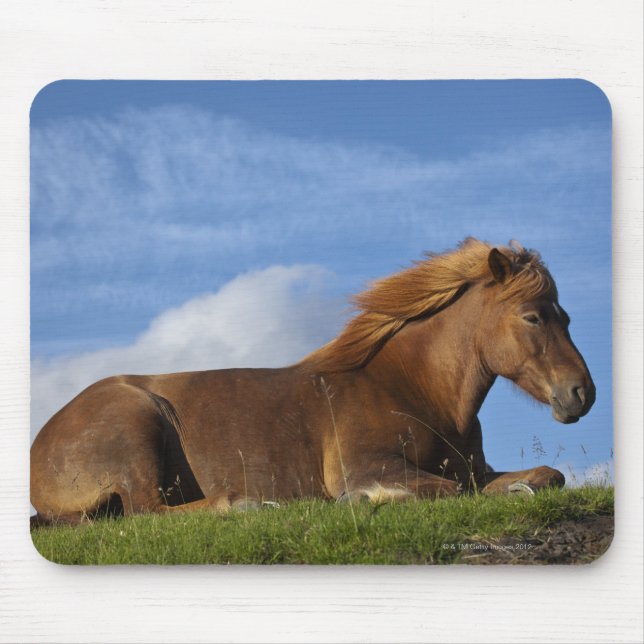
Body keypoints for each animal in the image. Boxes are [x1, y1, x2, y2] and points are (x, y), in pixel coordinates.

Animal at [30, 238, 595, 524]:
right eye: (532, 317)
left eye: (566, 316)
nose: (581, 394)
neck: (411, 390)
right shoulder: (368, 465)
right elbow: (447, 491)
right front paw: (365, 500)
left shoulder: (478, 470)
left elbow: (545, 477)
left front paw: (521, 488)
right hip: (138, 427)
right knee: (147, 512)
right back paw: (248, 504)